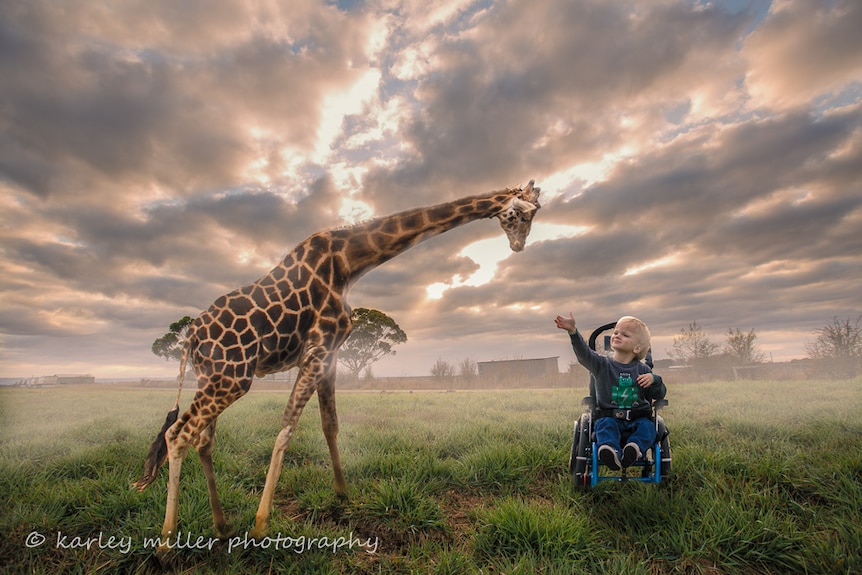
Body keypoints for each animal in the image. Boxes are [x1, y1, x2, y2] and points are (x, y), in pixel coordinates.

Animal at [132, 180, 544, 544]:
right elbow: (286, 430)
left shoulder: (330, 354)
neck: (349, 261)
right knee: (178, 435)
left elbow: (330, 424)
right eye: (520, 215)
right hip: (231, 379)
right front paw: (261, 525)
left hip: (215, 377)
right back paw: (166, 544)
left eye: (533, 214)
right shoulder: (317, 349)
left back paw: (221, 527)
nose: (519, 246)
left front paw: (343, 494)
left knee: (202, 441)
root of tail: (191, 338)